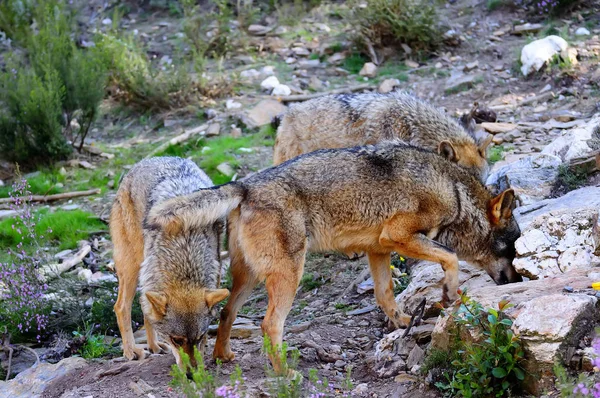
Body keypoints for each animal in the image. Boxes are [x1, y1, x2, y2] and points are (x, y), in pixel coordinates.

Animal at [109, 157, 229, 368]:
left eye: (199, 338)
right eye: (176, 340)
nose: (191, 373)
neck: (185, 247)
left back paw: (154, 346)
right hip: (132, 267)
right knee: (121, 306)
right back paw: (131, 351)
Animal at [148, 141, 524, 374]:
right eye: (512, 248)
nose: (518, 280)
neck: (453, 192)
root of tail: (245, 185)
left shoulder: (379, 249)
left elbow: (385, 295)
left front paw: (404, 322)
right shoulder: (397, 237)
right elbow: (451, 259)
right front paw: (448, 294)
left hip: (248, 277)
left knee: (226, 312)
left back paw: (223, 356)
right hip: (289, 274)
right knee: (269, 324)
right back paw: (284, 374)